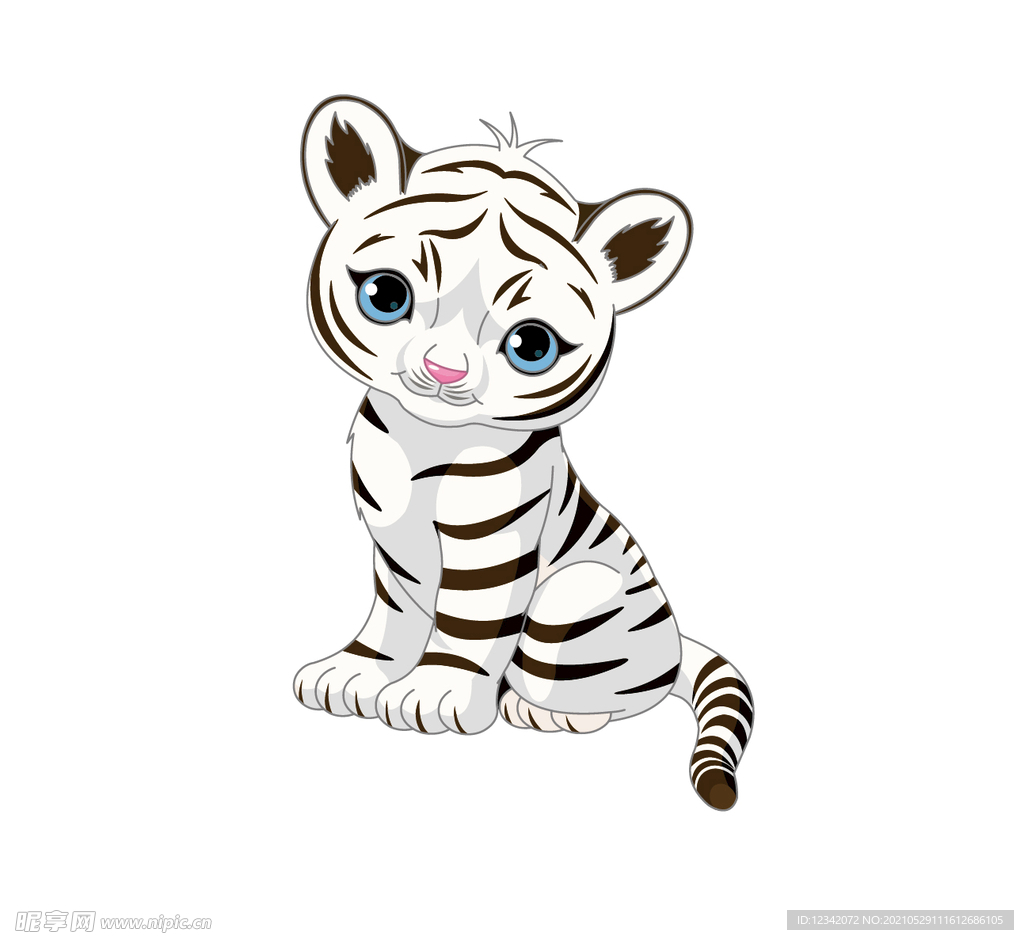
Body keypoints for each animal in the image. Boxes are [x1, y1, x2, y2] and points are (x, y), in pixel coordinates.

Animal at [292, 95, 754, 810]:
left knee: (615, 696)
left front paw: (434, 694)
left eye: (531, 345)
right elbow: (392, 613)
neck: (420, 437)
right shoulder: (389, 541)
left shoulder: (492, 543)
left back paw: (542, 711)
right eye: (387, 296)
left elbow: (468, 624)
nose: (444, 371)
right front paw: (357, 674)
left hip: (578, 601)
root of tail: (676, 643)